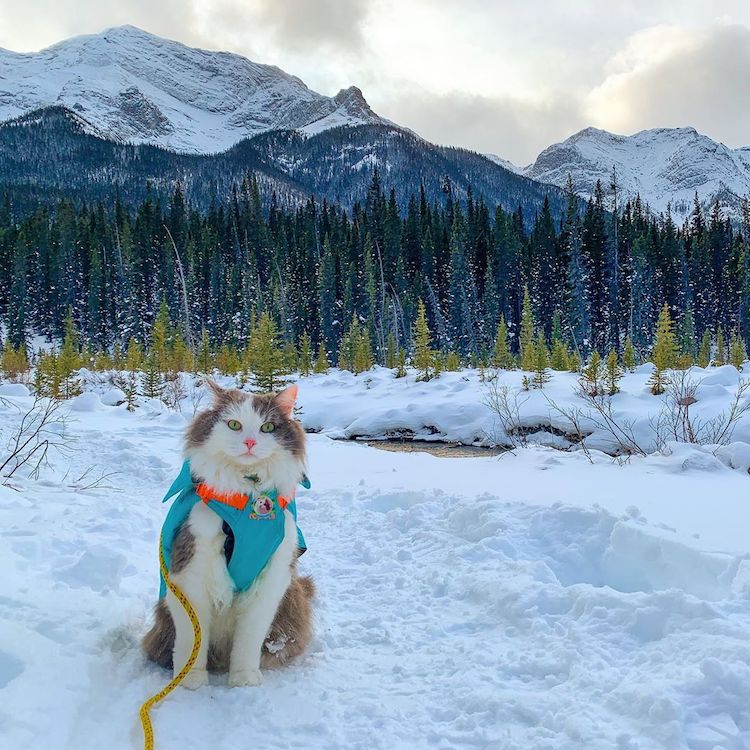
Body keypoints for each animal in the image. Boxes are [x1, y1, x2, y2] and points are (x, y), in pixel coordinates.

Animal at [144, 384, 314, 692]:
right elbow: (193, 637)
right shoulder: (191, 570)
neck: (245, 499)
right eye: (234, 425)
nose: (249, 442)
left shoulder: (271, 578)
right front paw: (192, 679)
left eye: (267, 427)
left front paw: (244, 678)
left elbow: (249, 639)